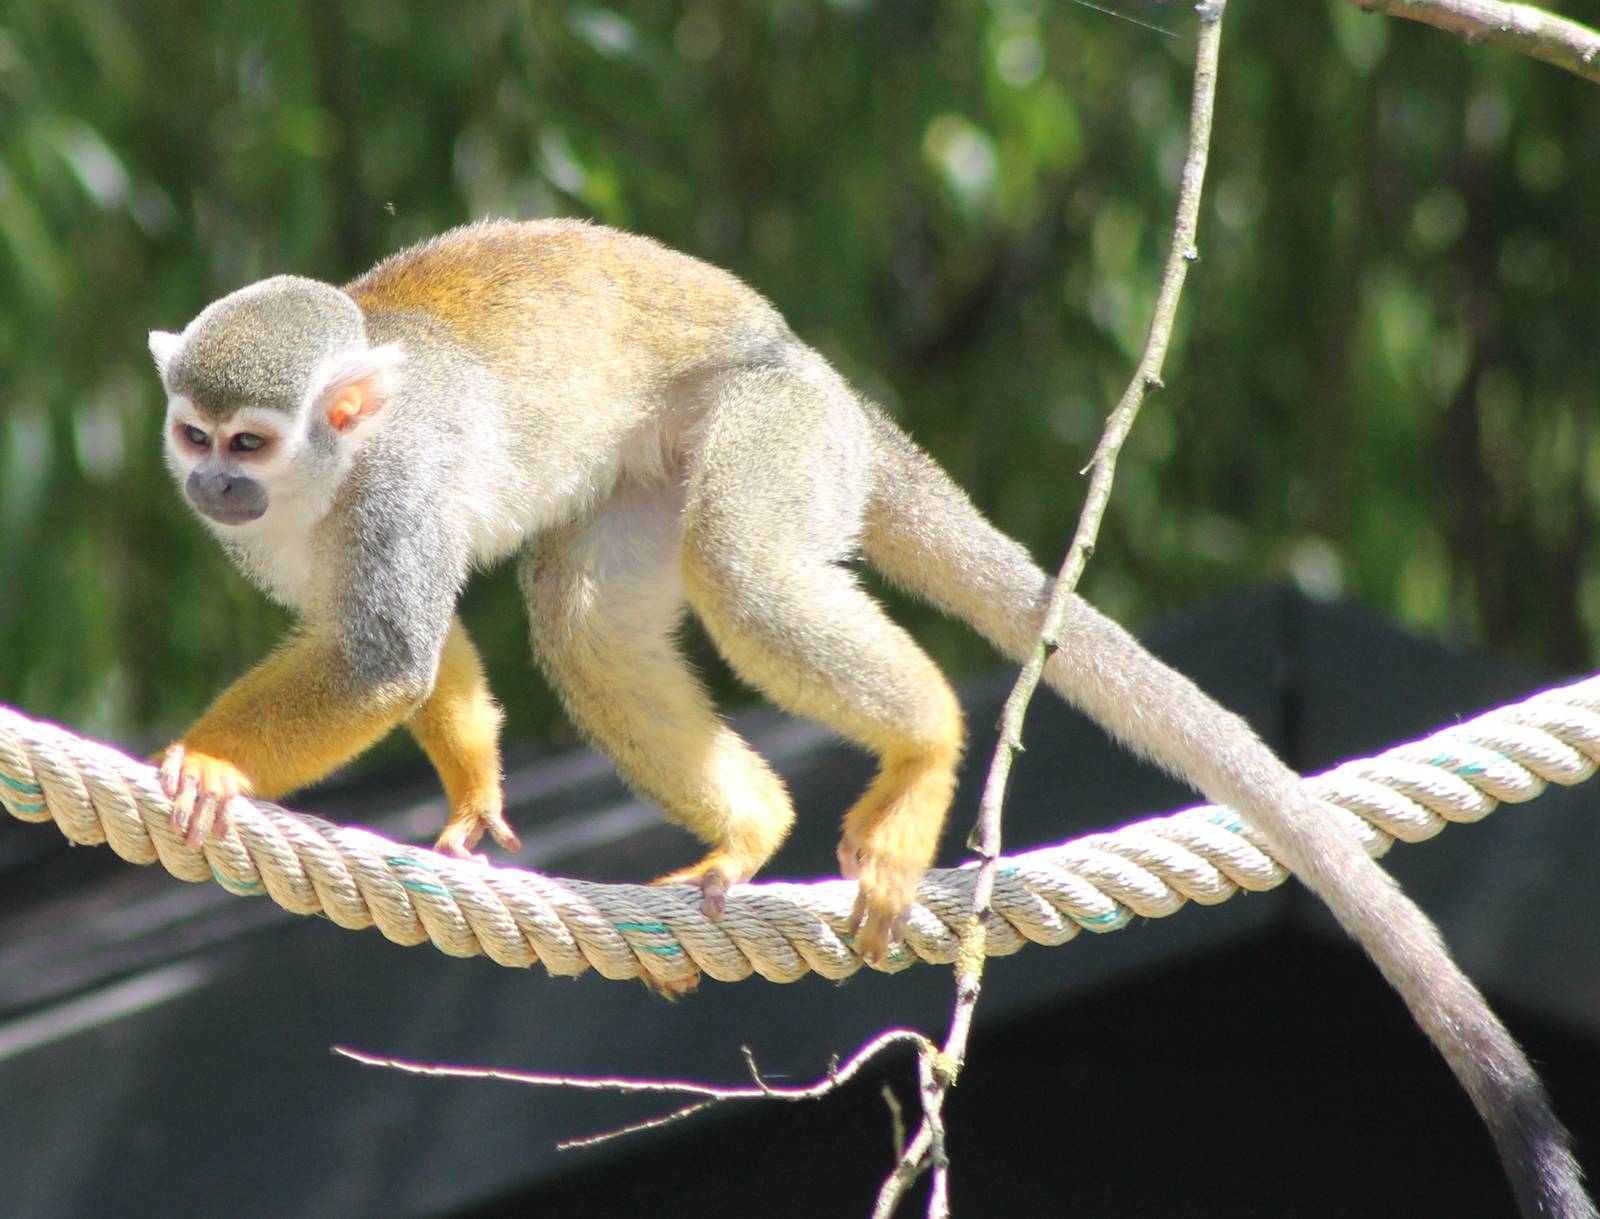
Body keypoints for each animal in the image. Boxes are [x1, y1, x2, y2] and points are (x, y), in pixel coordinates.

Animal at [148, 218, 1590, 1218]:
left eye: (250, 442)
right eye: (193, 434)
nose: (208, 488)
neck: (325, 479)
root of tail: (827, 380)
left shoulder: (393, 482)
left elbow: (382, 653)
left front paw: (208, 762)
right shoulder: (286, 543)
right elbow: (410, 643)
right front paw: (468, 788)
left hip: (769, 430)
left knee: (738, 565)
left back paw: (927, 745)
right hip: (666, 466)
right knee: (587, 612)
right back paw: (750, 822)